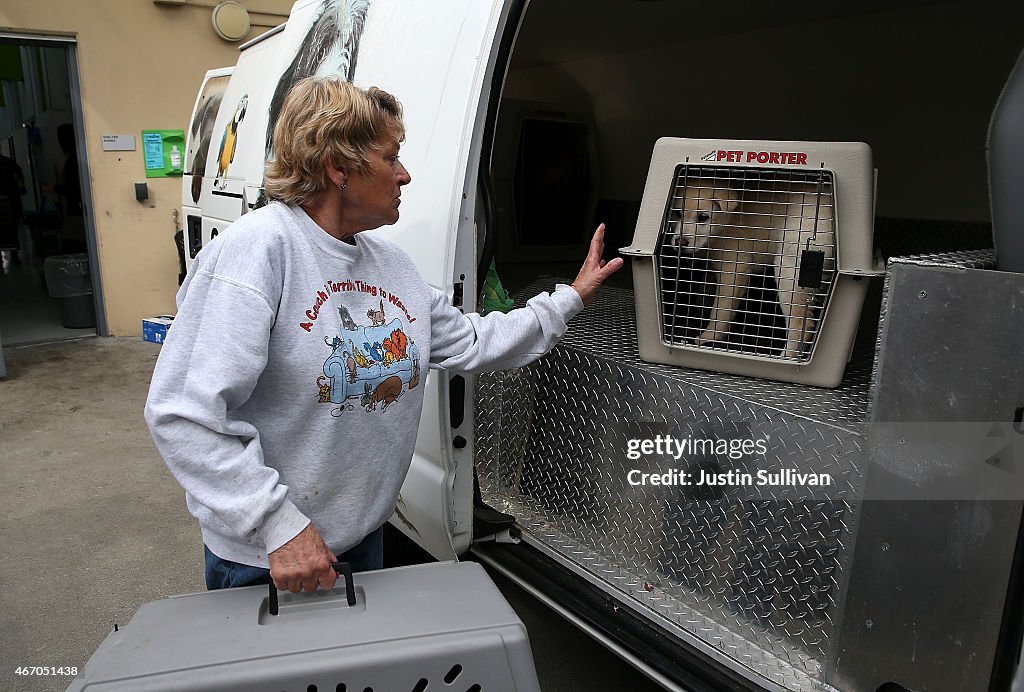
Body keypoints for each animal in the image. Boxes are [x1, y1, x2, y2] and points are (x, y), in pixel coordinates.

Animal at [659, 166, 835, 362]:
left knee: (801, 322)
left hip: (788, 268)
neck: (726, 224)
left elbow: (720, 310)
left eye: (703, 217)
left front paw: (709, 336)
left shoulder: (733, 272)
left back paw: (786, 355)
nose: (680, 242)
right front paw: (700, 302)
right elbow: (708, 283)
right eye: (678, 213)